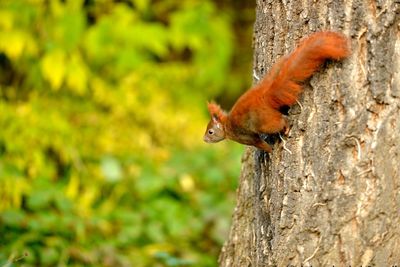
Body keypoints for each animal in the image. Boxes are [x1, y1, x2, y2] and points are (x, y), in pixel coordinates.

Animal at [203, 30, 350, 153]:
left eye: (210, 132)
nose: (204, 139)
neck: (226, 126)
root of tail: (264, 96)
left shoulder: (244, 137)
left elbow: (260, 144)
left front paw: (269, 152)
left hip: (265, 121)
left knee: (282, 121)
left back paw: (286, 128)